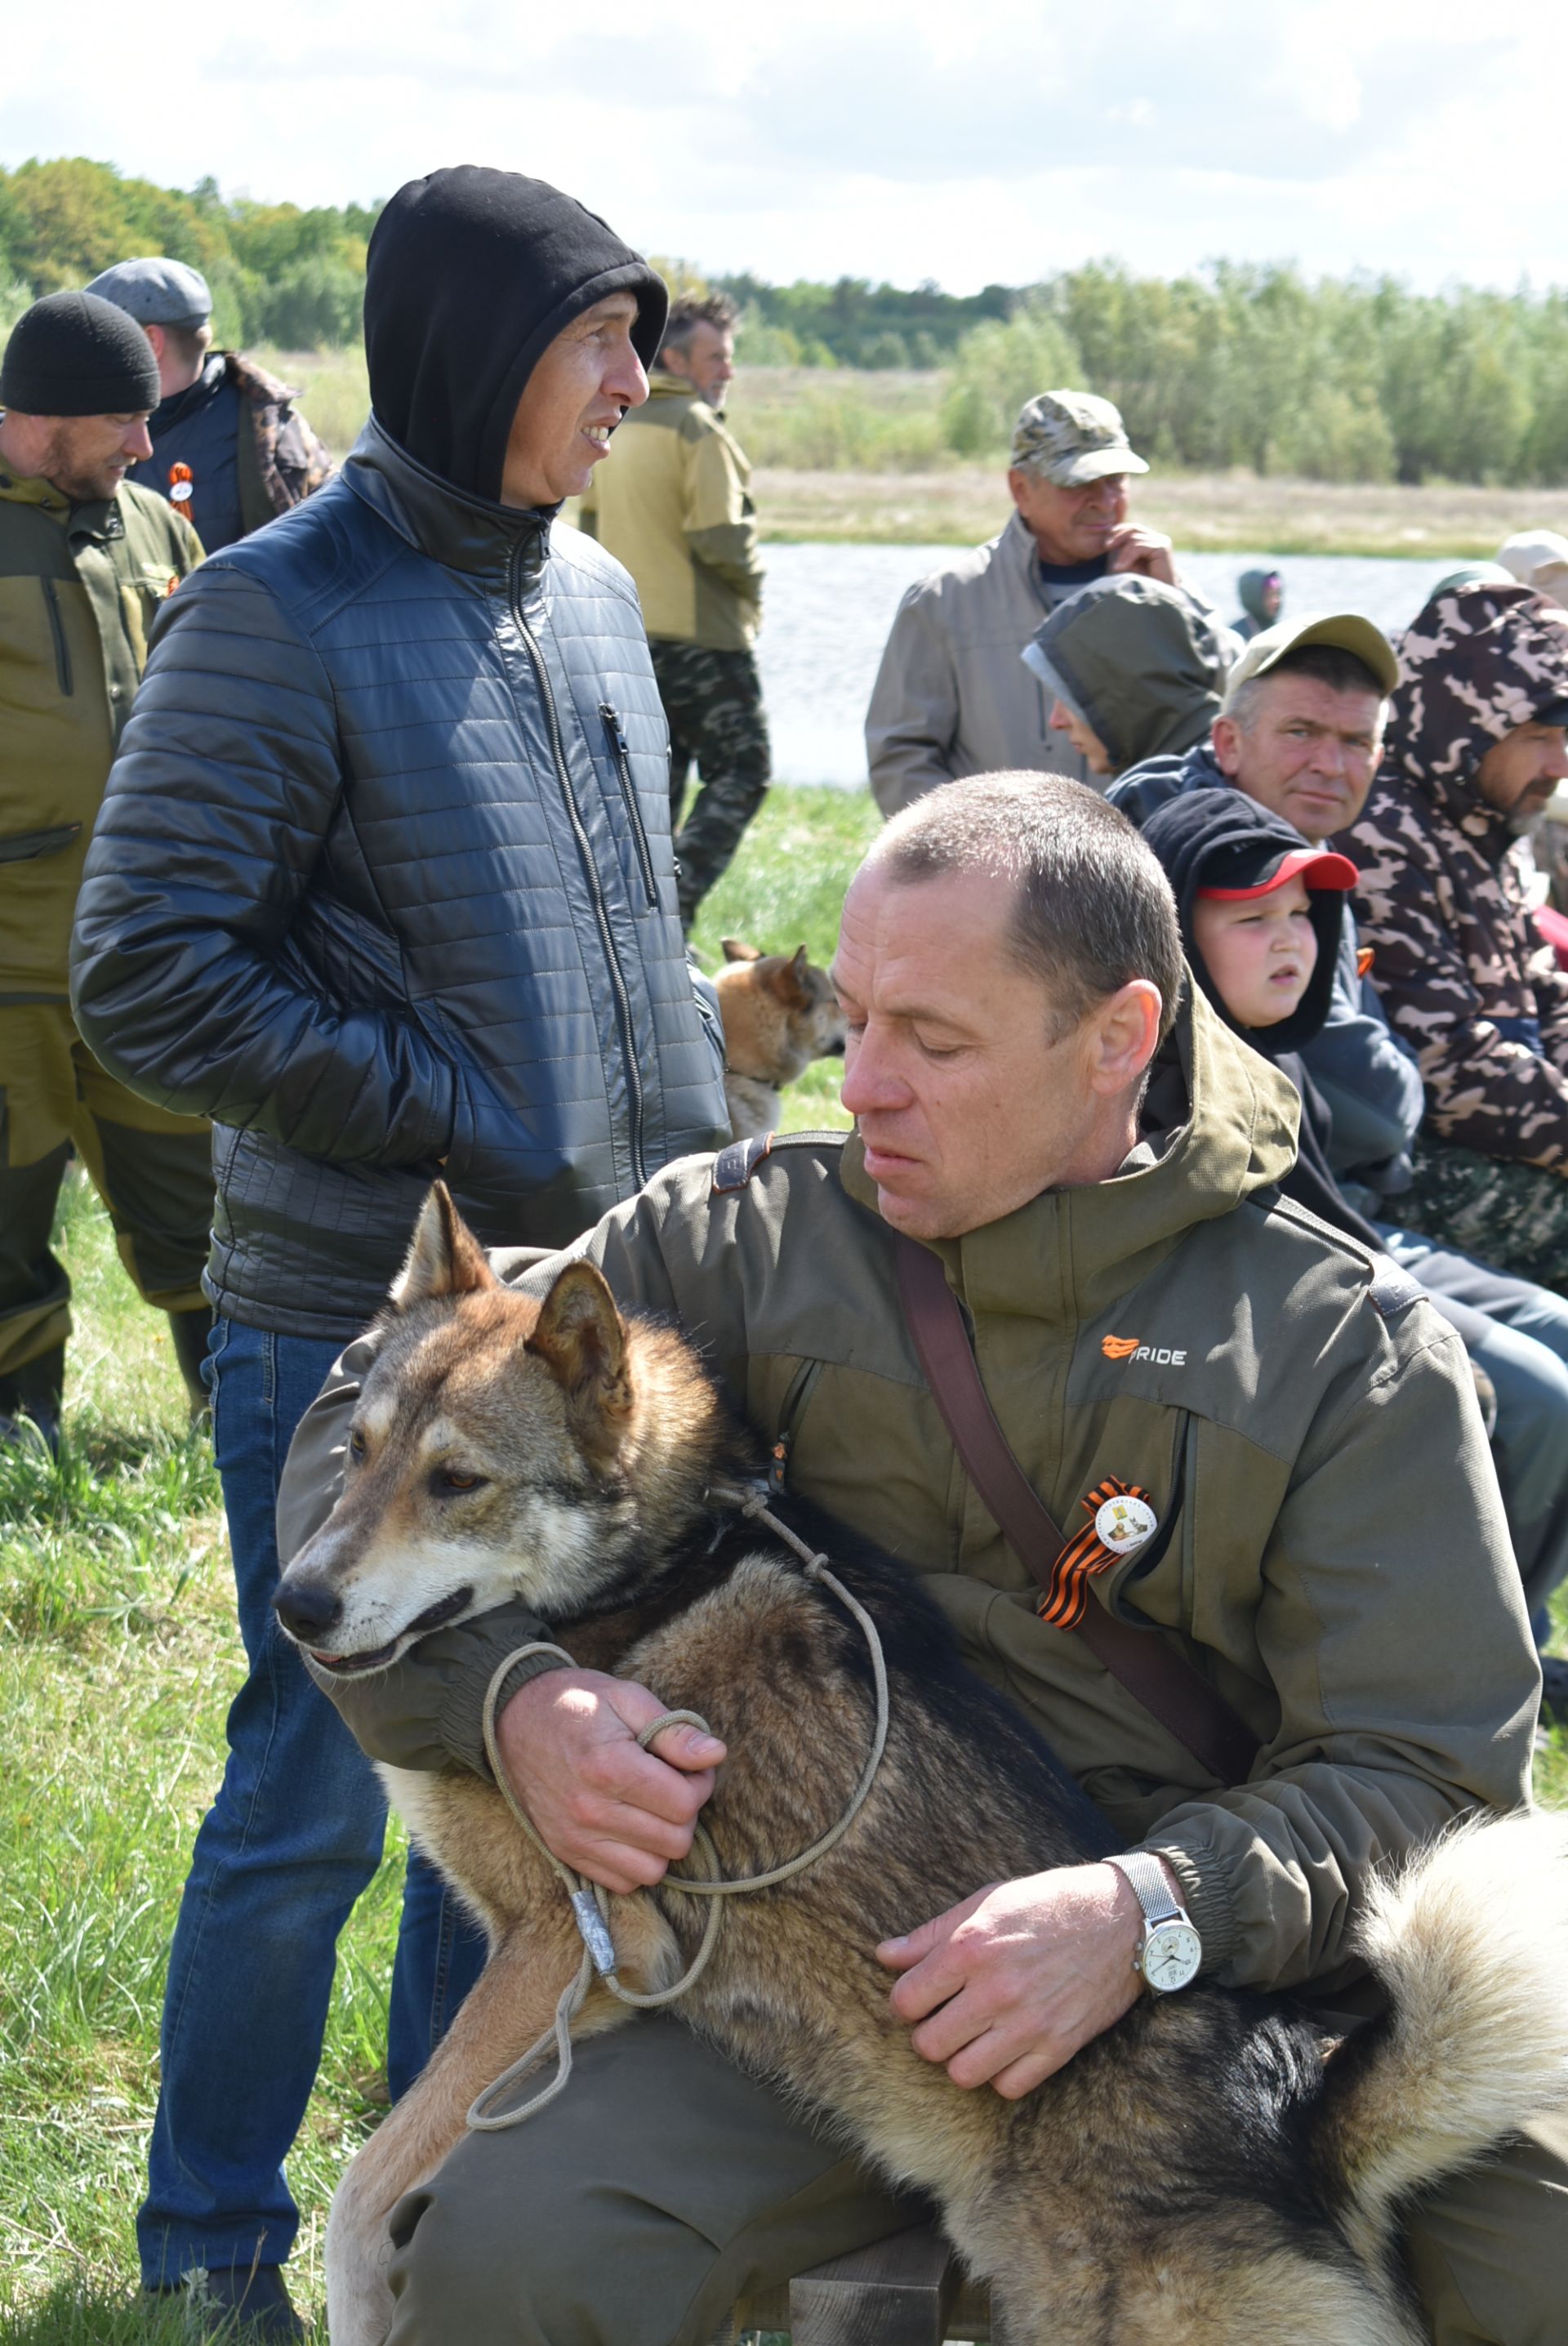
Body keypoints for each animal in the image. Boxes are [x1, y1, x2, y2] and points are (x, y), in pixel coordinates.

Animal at [275, 1191, 1566, 2346]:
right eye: (357, 1450)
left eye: (458, 1483)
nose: (295, 1603)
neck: (663, 1564)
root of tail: (1292, 2121)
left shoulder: (570, 1943)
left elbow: (366, 2191)